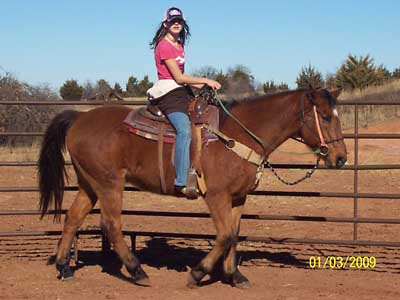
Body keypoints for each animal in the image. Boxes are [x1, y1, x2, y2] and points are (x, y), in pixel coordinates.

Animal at [39, 88, 348, 288]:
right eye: (325, 116)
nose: (341, 158)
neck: (237, 135)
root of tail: (79, 118)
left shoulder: (238, 197)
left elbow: (234, 235)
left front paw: (234, 276)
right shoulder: (216, 196)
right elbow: (224, 236)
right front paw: (198, 273)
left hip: (89, 184)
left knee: (72, 218)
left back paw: (64, 267)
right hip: (109, 184)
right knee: (111, 225)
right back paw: (137, 272)